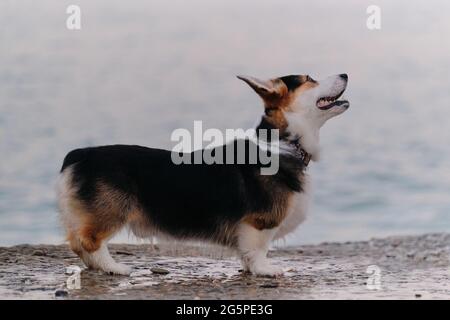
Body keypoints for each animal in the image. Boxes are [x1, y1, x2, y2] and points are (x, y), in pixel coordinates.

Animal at [57, 74, 352, 276]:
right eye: (309, 79)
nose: (345, 74)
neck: (282, 143)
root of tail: (79, 154)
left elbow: (246, 253)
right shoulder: (258, 224)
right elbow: (258, 249)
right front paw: (266, 269)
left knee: (77, 243)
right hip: (111, 212)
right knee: (88, 241)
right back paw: (114, 267)